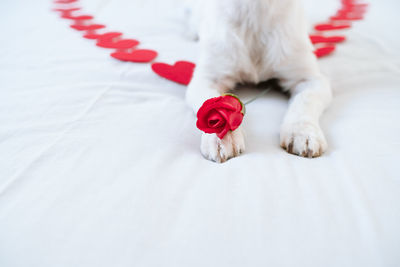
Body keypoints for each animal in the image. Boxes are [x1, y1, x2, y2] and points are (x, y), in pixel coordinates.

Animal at [184, 0, 332, 163]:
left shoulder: (310, 79)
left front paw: (302, 131)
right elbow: (212, 103)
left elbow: (305, 101)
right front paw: (222, 137)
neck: (256, 10)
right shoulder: (207, 77)